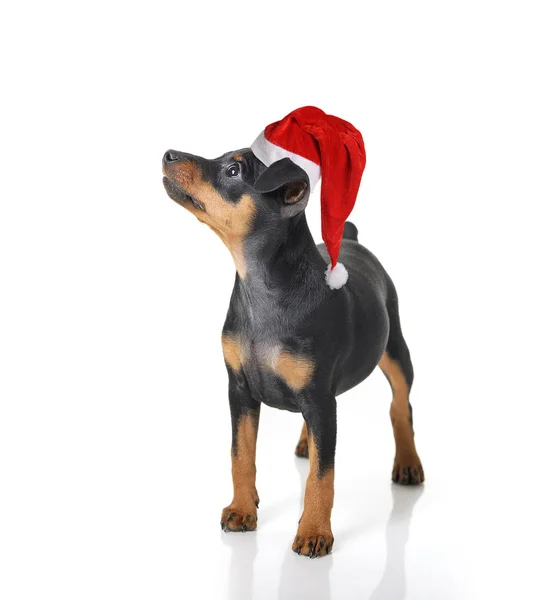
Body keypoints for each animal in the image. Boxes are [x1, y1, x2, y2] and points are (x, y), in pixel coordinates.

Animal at [161, 146, 426, 556]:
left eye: (234, 170)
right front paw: (242, 509)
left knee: (400, 405)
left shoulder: (319, 397)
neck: (262, 290)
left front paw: (314, 532)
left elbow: (322, 474)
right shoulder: (239, 389)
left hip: (395, 348)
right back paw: (306, 442)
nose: (168, 154)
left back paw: (408, 464)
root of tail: (352, 239)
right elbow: (240, 454)